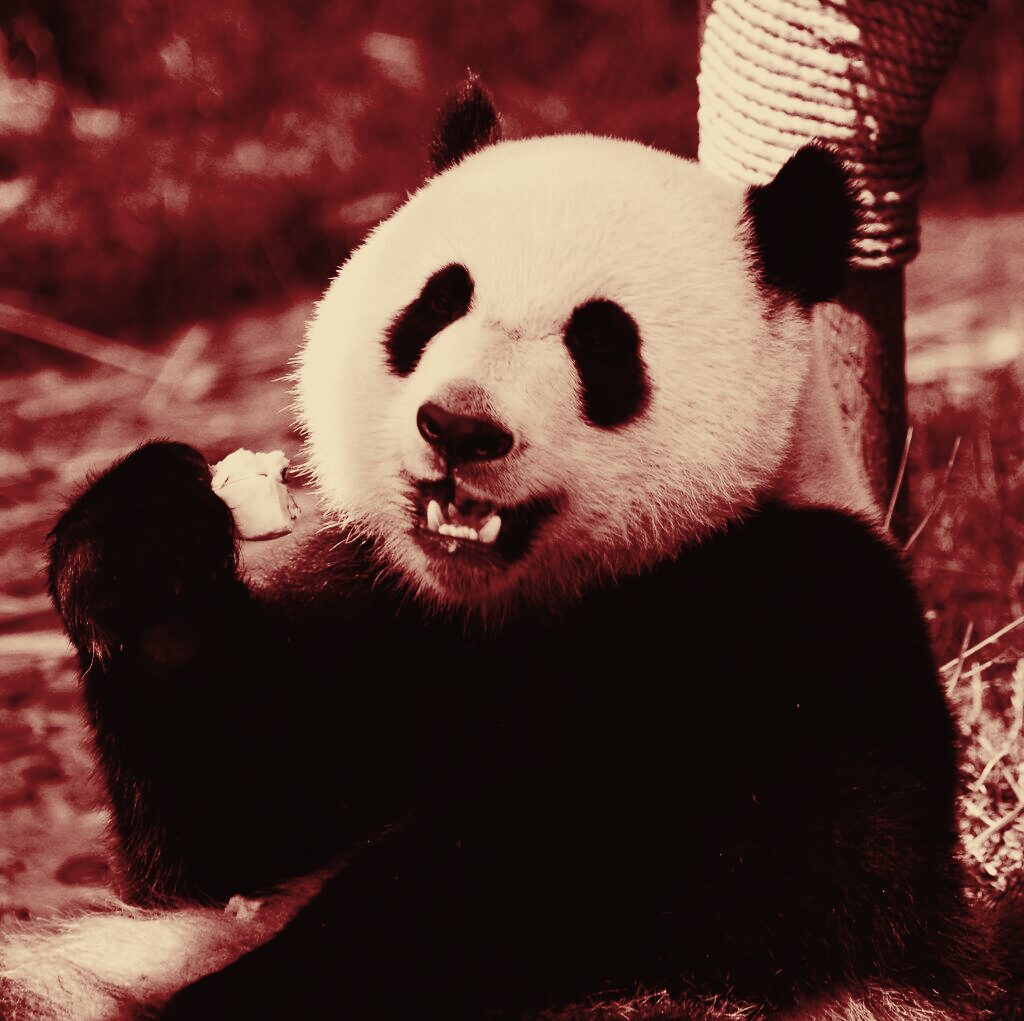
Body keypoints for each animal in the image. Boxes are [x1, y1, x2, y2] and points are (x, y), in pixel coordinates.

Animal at [1, 76, 1014, 1019]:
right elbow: (239, 835)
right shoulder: (384, 603)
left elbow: (555, 863)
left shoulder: (786, 611)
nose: (458, 428)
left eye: (602, 342)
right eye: (435, 303)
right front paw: (148, 552)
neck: (510, 596)